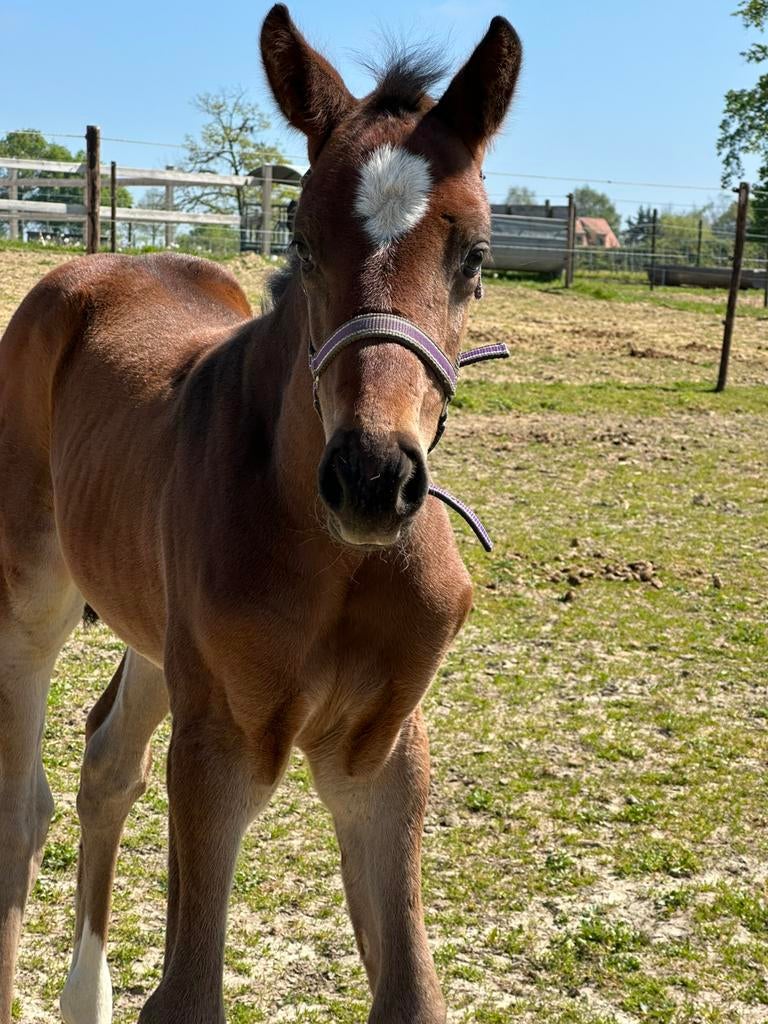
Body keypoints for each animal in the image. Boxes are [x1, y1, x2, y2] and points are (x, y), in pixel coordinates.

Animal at [0, 6, 521, 1022]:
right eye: (303, 242)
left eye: (476, 256)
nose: (370, 478)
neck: (340, 559)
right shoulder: (221, 744)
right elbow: (189, 993)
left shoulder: (382, 755)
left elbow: (412, 991)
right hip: (33, 598)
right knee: (20, 807)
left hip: (155, 630)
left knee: (105, 766)